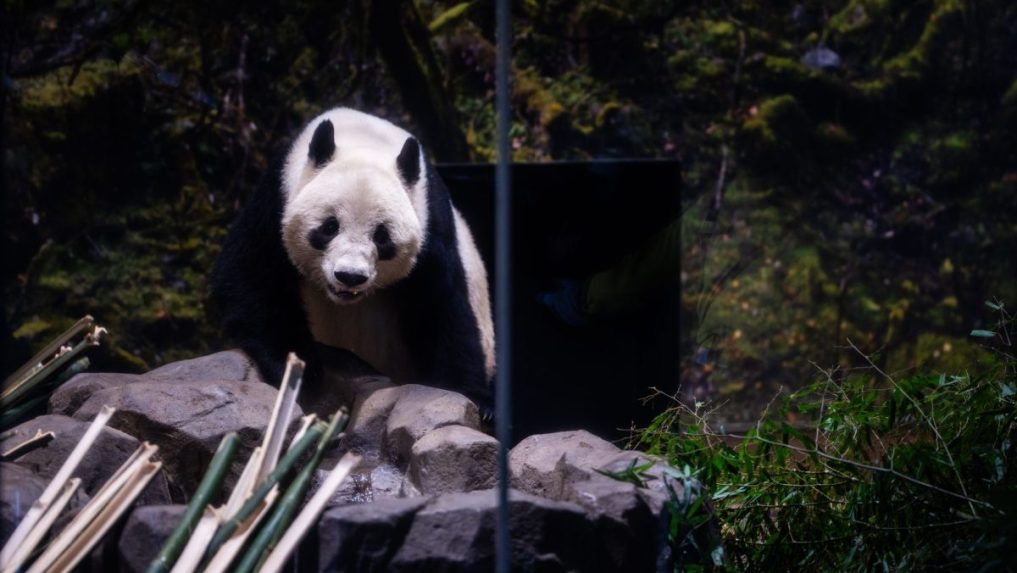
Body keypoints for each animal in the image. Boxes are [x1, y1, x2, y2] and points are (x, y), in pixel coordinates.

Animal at [210, 108, 495, 411]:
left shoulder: (431, 221)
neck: (366, 141)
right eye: (329, 227)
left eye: (382, 236)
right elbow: (252, 273)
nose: (350, 276)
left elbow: (442, 308)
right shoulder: (278, 193)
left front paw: (472, 398)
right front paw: (299, 369)